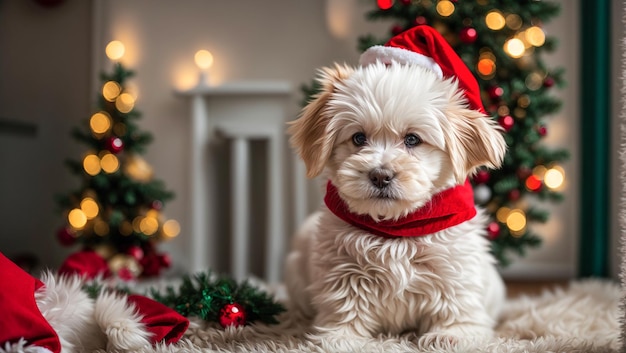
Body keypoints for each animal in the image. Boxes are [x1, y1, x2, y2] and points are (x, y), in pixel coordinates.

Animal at [282, 26, 508, 346]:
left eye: (412, 139)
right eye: (358, 138)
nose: (380, 175)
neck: (398, 229)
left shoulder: (455, 265)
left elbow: (456, 299)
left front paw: (453, 334)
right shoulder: (342, 269)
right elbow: (345, 305)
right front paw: (339, 337)